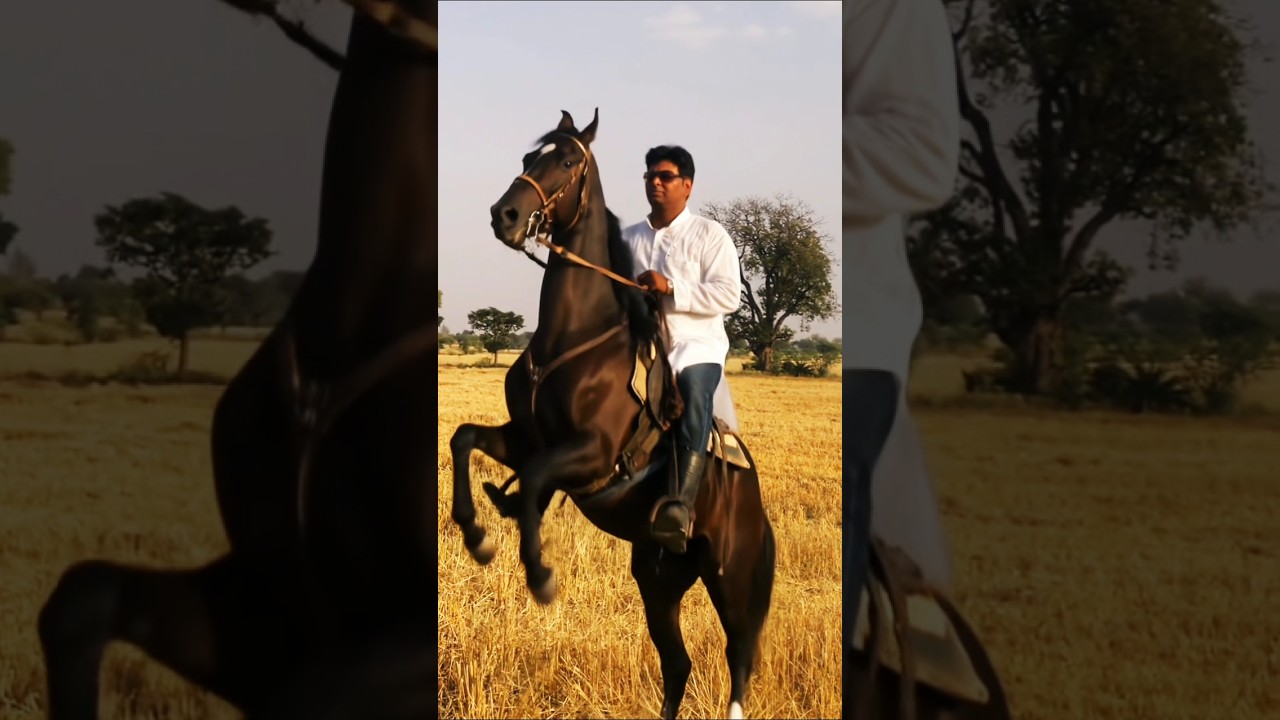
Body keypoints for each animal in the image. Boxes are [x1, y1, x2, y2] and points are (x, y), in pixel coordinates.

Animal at [447, 109, 777, 720]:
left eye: (566, 161)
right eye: (529, 158)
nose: (505, 215)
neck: (570, 340)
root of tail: (754, 502)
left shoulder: (590, 454)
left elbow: (534, 482)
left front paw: (540, 575)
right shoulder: (525, 438)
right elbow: (464, 439)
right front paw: (477, 535)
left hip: (733, 580)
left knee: (739, 661)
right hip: (659, 579)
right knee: (678, 665)